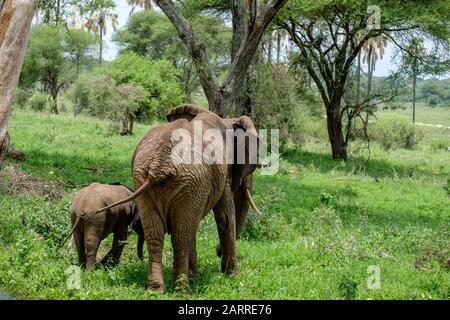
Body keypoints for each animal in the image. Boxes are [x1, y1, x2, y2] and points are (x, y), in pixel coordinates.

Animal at [94, 104, 262, 292]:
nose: (218, 252)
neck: (227, 120)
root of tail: (159, 165)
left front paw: (197, 276)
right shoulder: (221, 174)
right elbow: (225, 218)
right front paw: (233, 276)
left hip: (147, 181)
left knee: (157, 232)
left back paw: (156, 290)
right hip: (187, 182)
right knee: (181, 235)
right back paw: (183, 290)